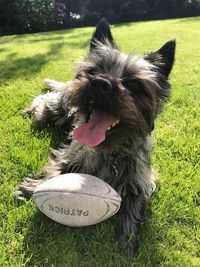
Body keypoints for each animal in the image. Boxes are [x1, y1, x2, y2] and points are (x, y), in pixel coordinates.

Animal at [15, 17, 175, 256]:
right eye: (94, 70)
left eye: (133, 83)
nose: (100, 82)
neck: (111, 152)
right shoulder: (69, 154)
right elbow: (54, 172)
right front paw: (30, 189)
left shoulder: (141, 179)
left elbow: (134, 204)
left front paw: (128, 238)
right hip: (55, 109)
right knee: (44, 101)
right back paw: (30, 110)